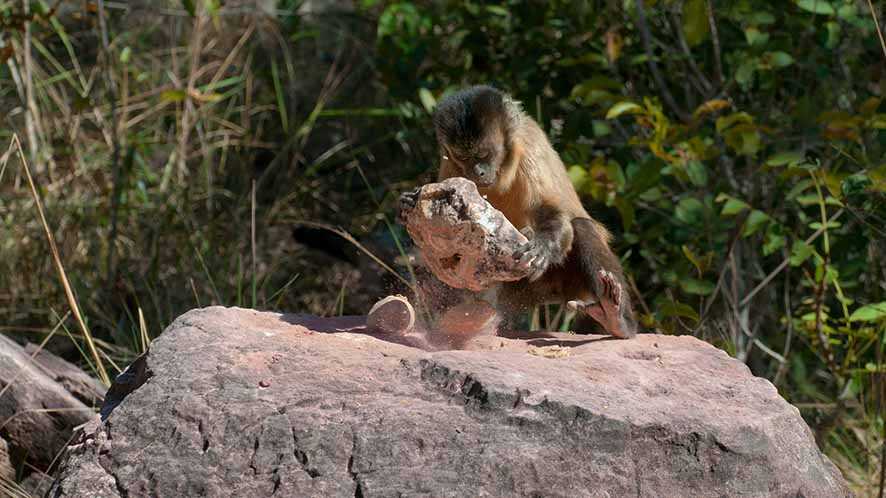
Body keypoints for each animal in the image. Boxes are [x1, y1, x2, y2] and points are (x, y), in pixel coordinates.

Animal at [430, 85, 640, 338]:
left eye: (483, 155)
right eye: (463, 158)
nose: (476, 172)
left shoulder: (529, 146)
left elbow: (546, 208)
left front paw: (542, 246)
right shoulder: (449, 163)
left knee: (581, 227)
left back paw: (615, 317)